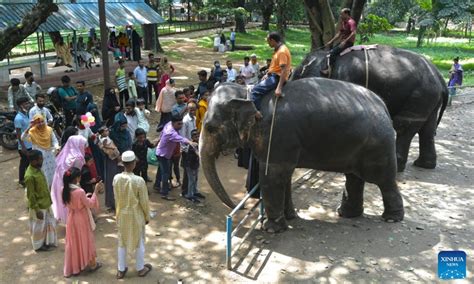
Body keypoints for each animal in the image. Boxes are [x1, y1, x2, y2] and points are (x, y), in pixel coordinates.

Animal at [200, 78, 404, 233]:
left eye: (210, 128)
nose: (241, 207)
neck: (247, 92)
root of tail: (383, 106)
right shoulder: (285, 146)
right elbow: (284, 177)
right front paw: (290, 217)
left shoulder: (277, 136)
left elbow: (271, 177)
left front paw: (271, 229)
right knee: (354, 177)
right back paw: (346, 214)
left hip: (379, 147)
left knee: (383, 180)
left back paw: (391, 219)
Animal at [290, 45, 450, 172]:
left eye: (298, 74)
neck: (329, 57)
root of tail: (440, 79)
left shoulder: (345, 79)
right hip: (429, 99)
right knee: (427, 128)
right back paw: (424, 165)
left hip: (420, 95)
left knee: (404, 125)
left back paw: (398, 167)